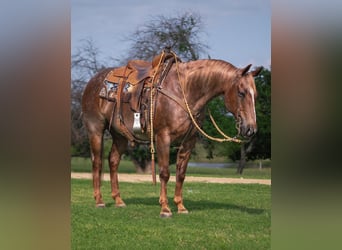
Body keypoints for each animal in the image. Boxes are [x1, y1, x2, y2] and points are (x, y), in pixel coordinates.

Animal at [81, 57, 264, 217]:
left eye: (255, 95)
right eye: (241, 93)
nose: (250, 129)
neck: (185, 91)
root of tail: (93, 81)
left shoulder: (189, 142)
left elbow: (181, 174)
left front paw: (181, 206)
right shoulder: (163, 138)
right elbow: (164, 173)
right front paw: (165, 208)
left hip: (120, 135)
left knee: (113, 161)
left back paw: (118, 200)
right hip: (96, 130)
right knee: (97, 162)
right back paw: (99, 201)